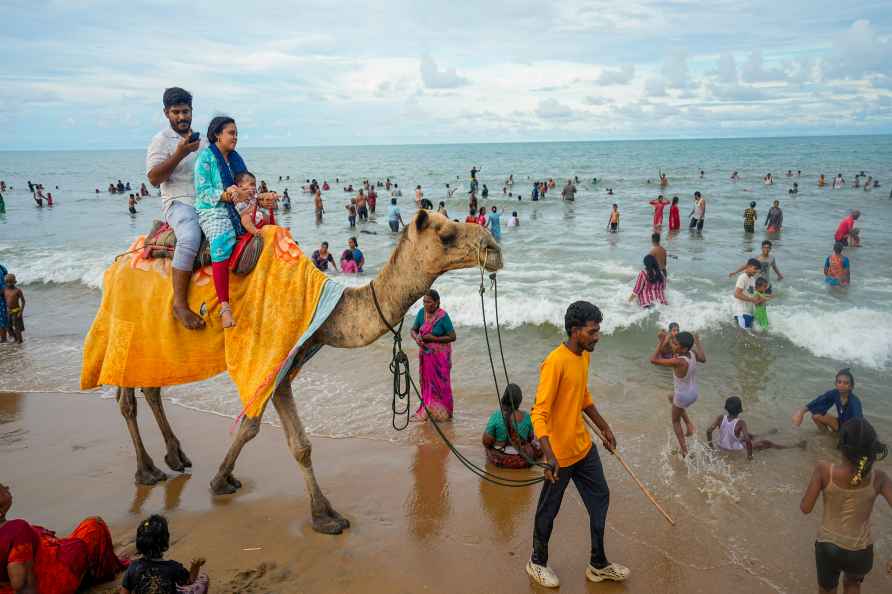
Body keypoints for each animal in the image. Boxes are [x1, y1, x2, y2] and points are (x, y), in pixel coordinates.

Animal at [113, 210, 502, 536]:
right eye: (447, 234)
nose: (495, 249)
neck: (326, 306)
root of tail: (120, 261)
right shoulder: (274, 358)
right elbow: (285, 439)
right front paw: (323, 517)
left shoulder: (287, 364)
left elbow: (262, 431)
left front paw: (224, 479)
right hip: (130, 327)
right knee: (126, 397)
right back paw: (147, 470)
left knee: (149, 388)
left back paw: (174, 457)